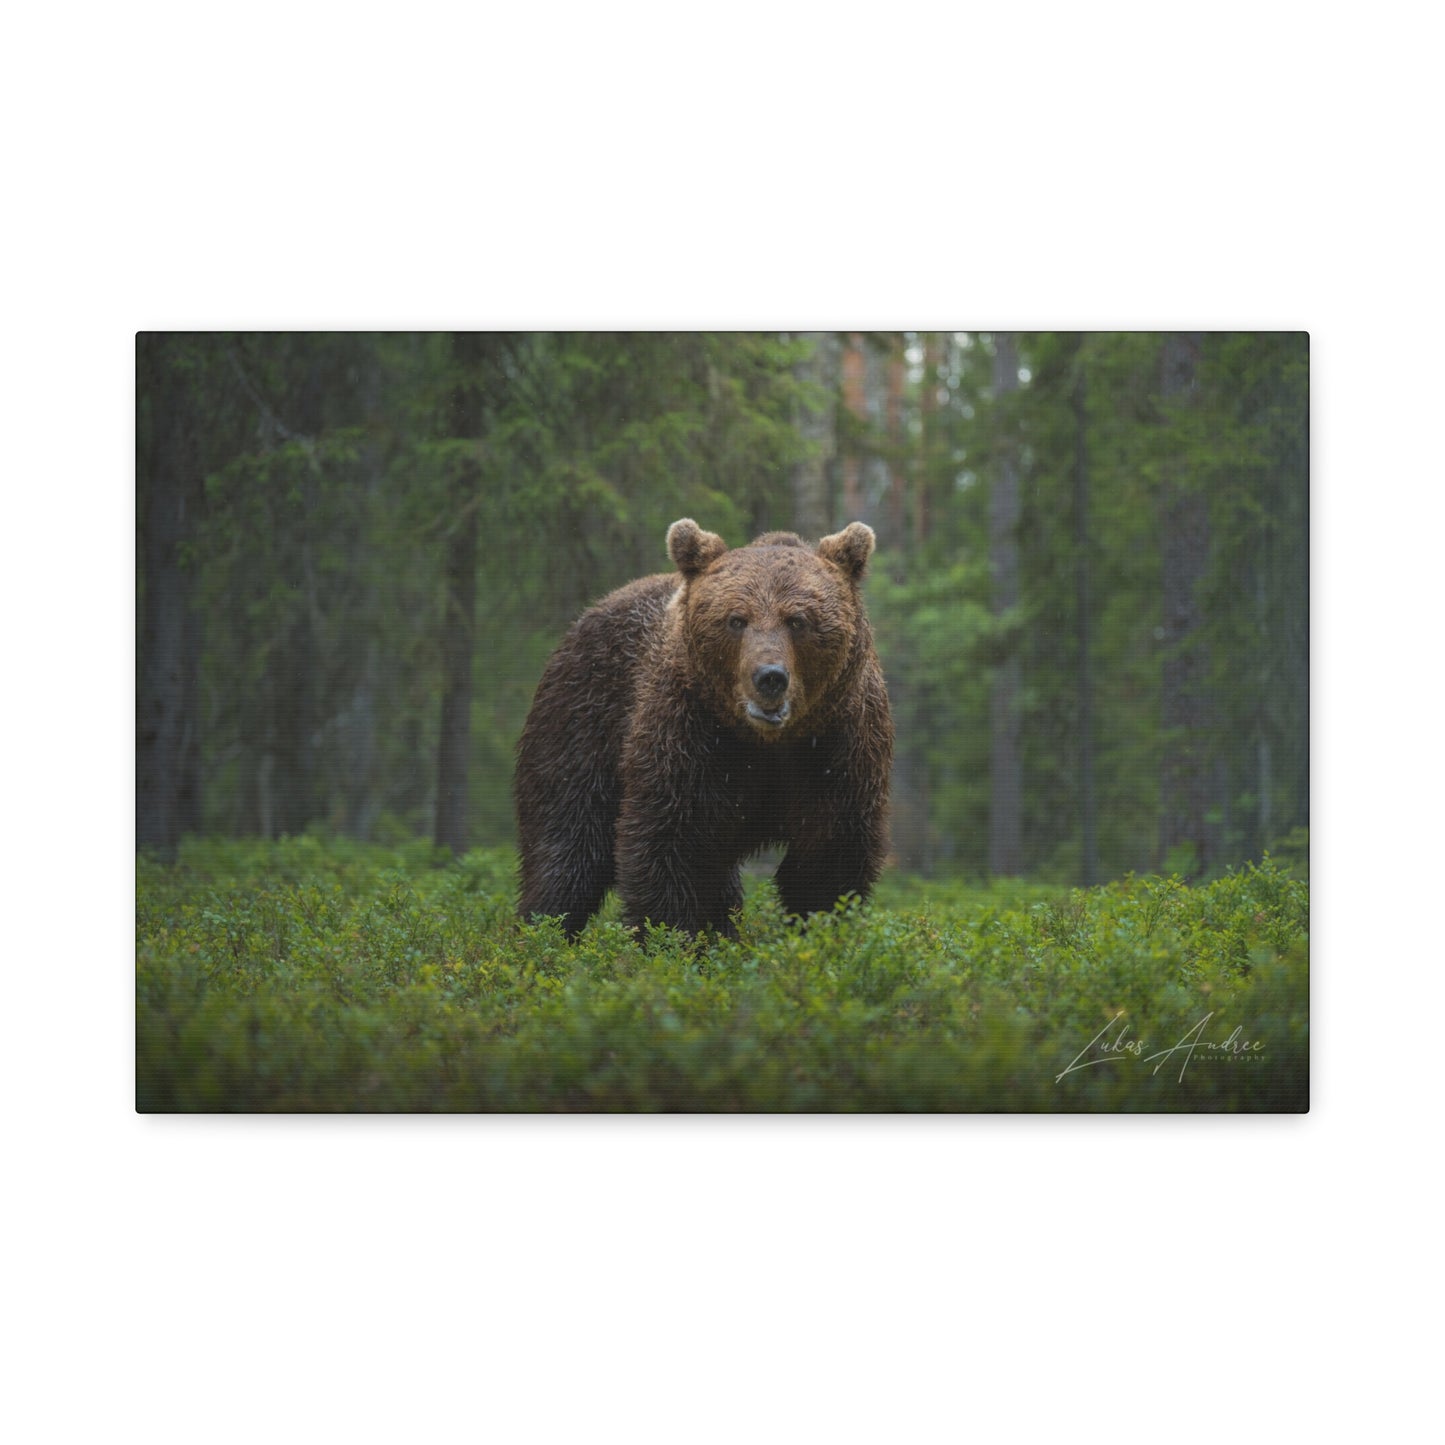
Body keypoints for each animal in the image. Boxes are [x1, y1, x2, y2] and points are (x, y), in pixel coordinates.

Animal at [514, 518, 893, 940]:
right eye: (736, 619)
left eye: (798, 620)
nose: (770, 678)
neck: (766, 741)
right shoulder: (691, 736)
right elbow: (670, 847)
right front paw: (670, 937)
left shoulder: (837, 746)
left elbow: (829, 859)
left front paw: (823, 928)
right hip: (582, 723)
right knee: (568, 849)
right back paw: (540, 931)